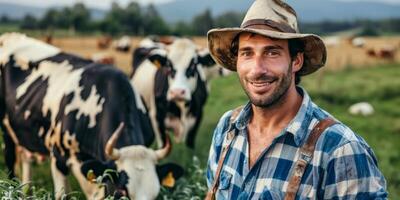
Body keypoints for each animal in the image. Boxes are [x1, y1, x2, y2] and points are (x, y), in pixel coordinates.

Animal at [0, 32, 183, 198]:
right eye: (122, 192)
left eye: (156, 194)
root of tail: (10, 36)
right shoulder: (58, 157)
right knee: (10, 160)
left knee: (26, 158)